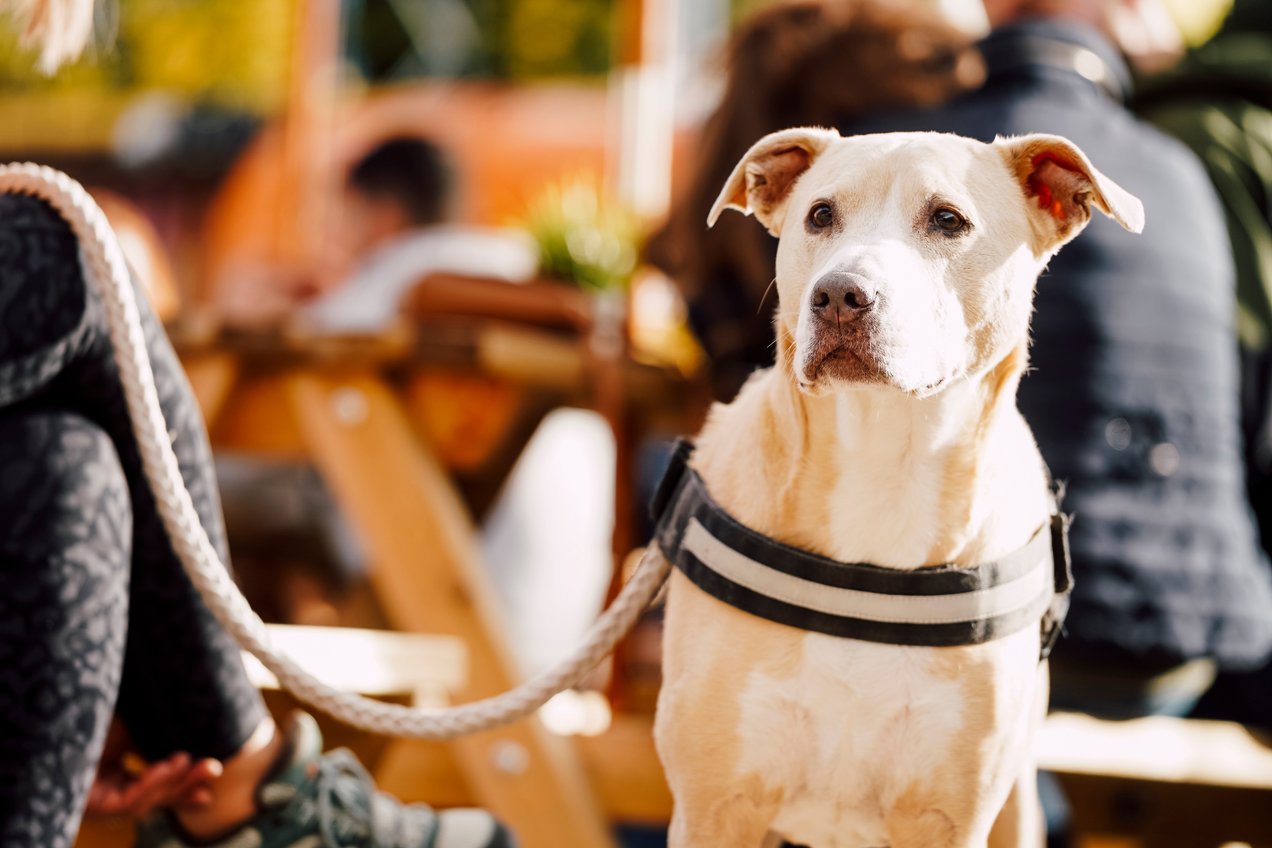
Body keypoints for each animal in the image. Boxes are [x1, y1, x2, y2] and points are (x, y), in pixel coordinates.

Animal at [656, 127, 1144, 848]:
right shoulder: (715, 807)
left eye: (948, 220)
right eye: (819, 215)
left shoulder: (950, 815)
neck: (884, 459)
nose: (839, 294)